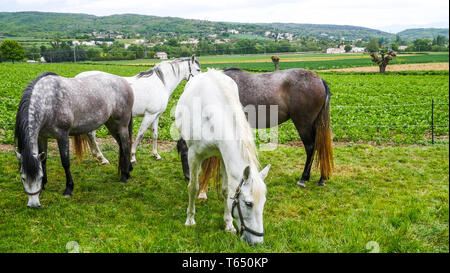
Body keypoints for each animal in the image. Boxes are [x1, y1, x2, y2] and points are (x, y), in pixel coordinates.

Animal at [14, 71, 134, 206]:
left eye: (38, 177)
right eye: (23, 177)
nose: (33, 204)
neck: (48, 101)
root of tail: (124, 82)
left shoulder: (62, 135)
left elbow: (65, 162)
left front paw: (68, 189)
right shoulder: (42, 136)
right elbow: (43, 161)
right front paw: (44, 185)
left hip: (122, 126)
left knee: (126, 145)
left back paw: (124, 176)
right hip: (111, 125)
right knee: (122, 145)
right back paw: (128, 170)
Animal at [175, 68, 268, 244]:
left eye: (264, 202)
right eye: (249, 204)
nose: (257, 242)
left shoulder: (223, 156)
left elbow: (226, 190)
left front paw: (228, 224)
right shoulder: (194, 155)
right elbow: (193, 187)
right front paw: (190, 219)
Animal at [178, 66, 332, 189]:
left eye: (184, 153)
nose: (187, 177)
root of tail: (319, 80)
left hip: (303, 124)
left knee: (310, 147)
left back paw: (303, 178)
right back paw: (321, 178)